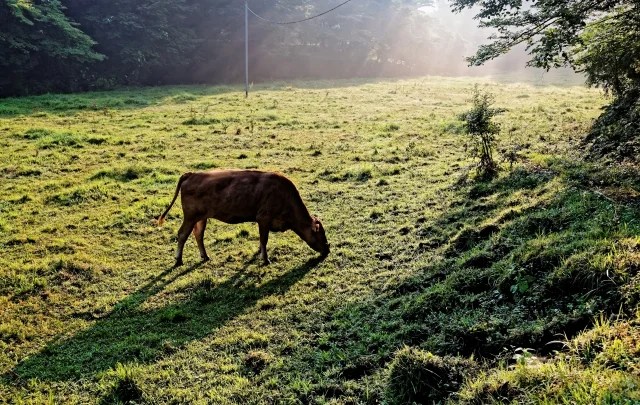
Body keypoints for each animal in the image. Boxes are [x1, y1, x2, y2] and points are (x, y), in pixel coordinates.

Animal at [156, 170, 330, 266]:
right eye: (320, 234)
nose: (328, 249)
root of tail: (191, 175)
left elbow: (261, 239)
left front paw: (260, 253)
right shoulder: (264, 218)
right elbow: (264, 239)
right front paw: (265, 259)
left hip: (201, 218)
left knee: (198, 234)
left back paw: (205, 256)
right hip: (190, 217)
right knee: (182, 234)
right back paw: (178, 260)